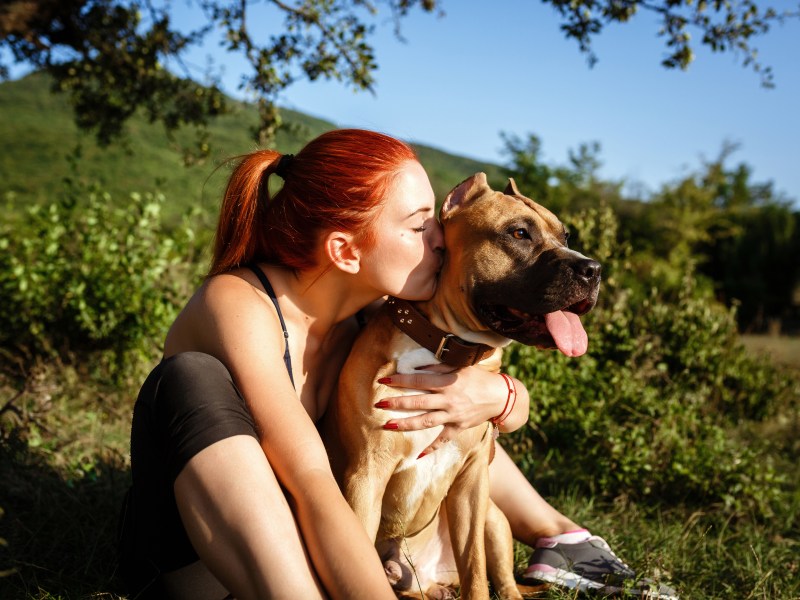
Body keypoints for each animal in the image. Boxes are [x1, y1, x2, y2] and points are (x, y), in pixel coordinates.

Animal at [324, 173, 600, 600]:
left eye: (565, 235)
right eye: (519, 233)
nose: (593, 269)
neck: (443, 346)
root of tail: (427, 576)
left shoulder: (472, 484)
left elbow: (475, 568)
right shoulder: (365, 477)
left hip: (493, 520)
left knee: (499, 577)